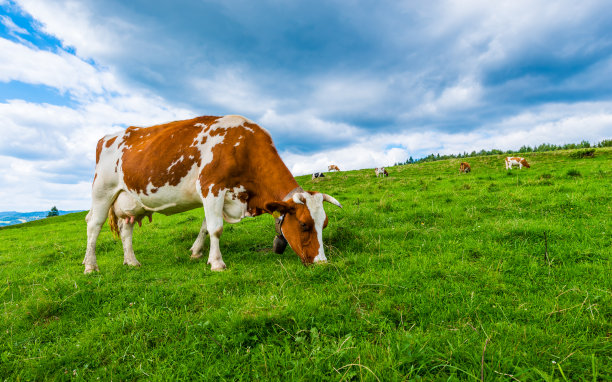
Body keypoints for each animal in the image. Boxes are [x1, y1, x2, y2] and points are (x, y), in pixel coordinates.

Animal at [84, 115, 344, 274]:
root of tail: (108, 136)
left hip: (130, 200)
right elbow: (215, 228)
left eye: (324, 224)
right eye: (303, 224)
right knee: (93, 225)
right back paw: (90, 266)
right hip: (102, 190)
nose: (321, 262)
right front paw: (217, 263)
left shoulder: (217, 195)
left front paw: (198, 253)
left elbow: (204, 226)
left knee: (126, 230)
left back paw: (131, 261)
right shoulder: (212, 187)